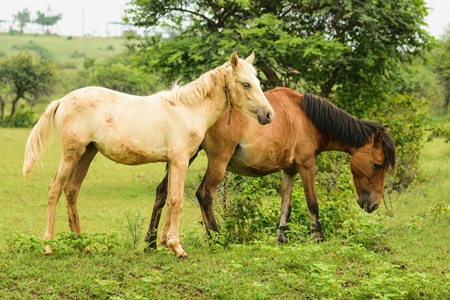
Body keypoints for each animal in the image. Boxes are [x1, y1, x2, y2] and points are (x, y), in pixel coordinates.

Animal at [22, 51, 274, 258]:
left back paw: (82, 246)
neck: (188, 110)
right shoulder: (180, 160)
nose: (268, 115)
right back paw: (48, 246)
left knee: (71, 190)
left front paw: (165, 243)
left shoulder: (174, 161)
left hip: (86, 153)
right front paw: (177, 248)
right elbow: (176, 200)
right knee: (54, 189)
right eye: (246, 84)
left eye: (257, 82)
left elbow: (169, 198)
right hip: (71, 153)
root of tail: (62, 100)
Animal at [146, 87, 396, 248]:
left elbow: (286, 206)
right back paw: (217, 239)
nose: (373, 205)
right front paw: (319, 237)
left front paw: (281, 238)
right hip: (218, 160)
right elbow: (312, 203)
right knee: (204, 194)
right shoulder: (307, 165)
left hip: (184, 157)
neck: (306, 116)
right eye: (377, 165)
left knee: (162, 192)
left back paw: (150, 242)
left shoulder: (289, 170)